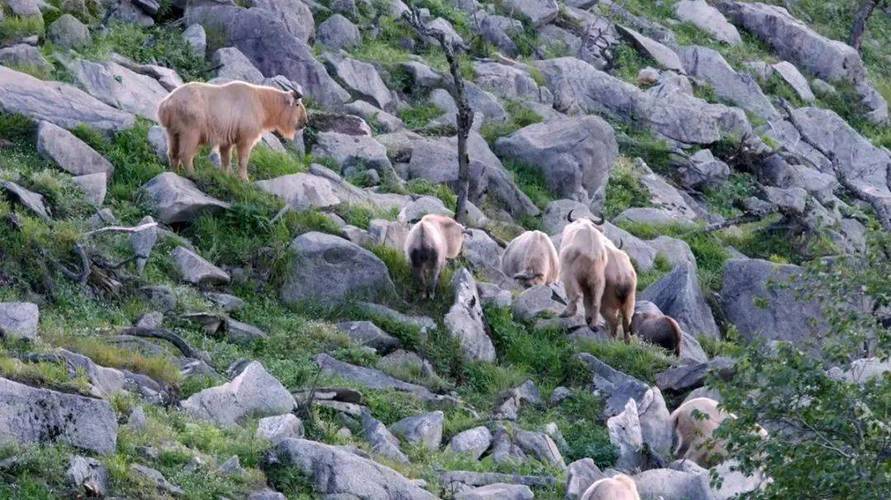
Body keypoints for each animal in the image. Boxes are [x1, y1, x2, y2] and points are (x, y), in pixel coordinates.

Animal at [160, 81, 310, 183]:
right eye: (297, 104)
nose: (305, 121)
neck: (261, 103)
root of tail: (166, 104)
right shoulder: (246, 137)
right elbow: (243, 160)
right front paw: (245, 180)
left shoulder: (227, 138)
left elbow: (226, 158)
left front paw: (226, 175)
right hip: (191, 128)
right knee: (186, 153)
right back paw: (193, 174)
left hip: (173, 130)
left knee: (172, 152)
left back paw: (175, 171)